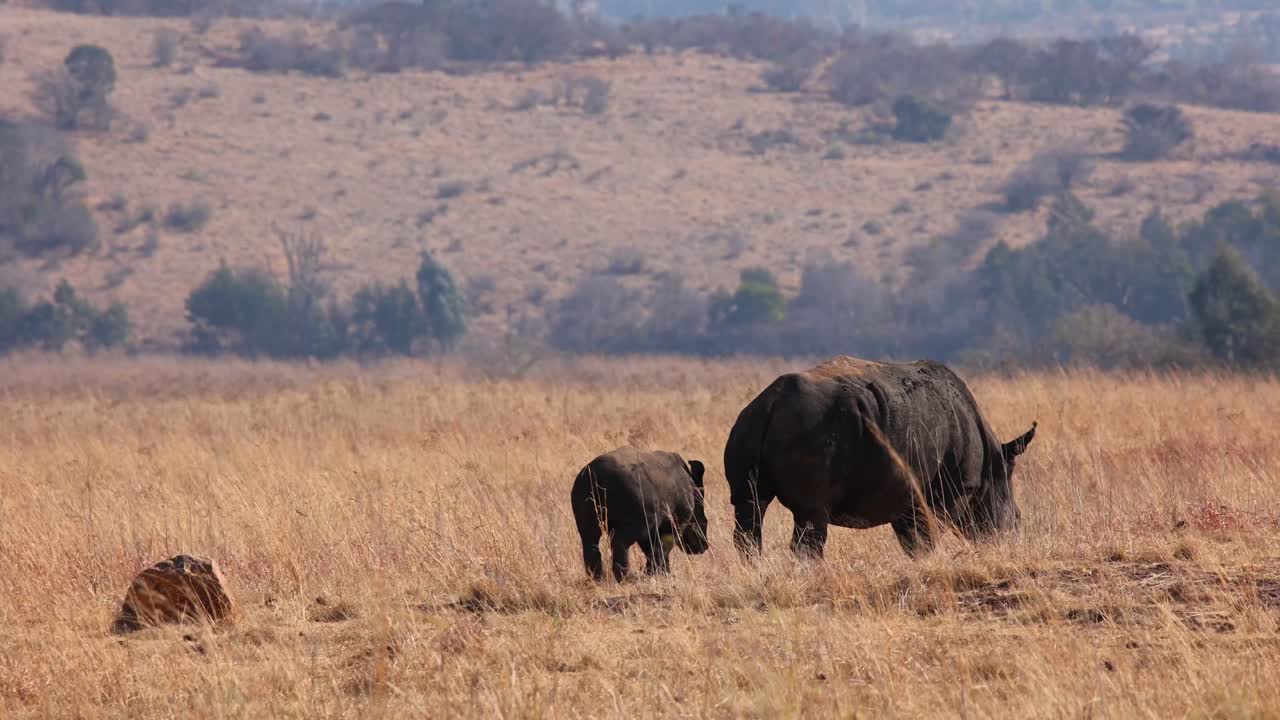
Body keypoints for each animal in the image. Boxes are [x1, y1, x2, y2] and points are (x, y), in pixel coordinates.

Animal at [571, 447, 709, 581]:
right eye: (704, 522)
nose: (704, 546)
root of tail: (598, 476)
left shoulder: (651, 528)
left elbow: (652, 550)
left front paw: (655, 573)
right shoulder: (673, 524)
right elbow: (662, 549)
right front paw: (659, 574)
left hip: (584, 494)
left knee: (590, 541)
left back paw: (596, 578)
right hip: (635, 519)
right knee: (620, 543)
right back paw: (624, 578)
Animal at [724, 356, 1036, 559]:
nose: (1015, 530)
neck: (990, 461)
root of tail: (771, 403)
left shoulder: (904, 490)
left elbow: (913, 540)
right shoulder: (950, 489)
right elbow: (928, 535)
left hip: (745, 425)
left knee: (750, 507)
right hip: (810, 430)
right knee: (811, 515)